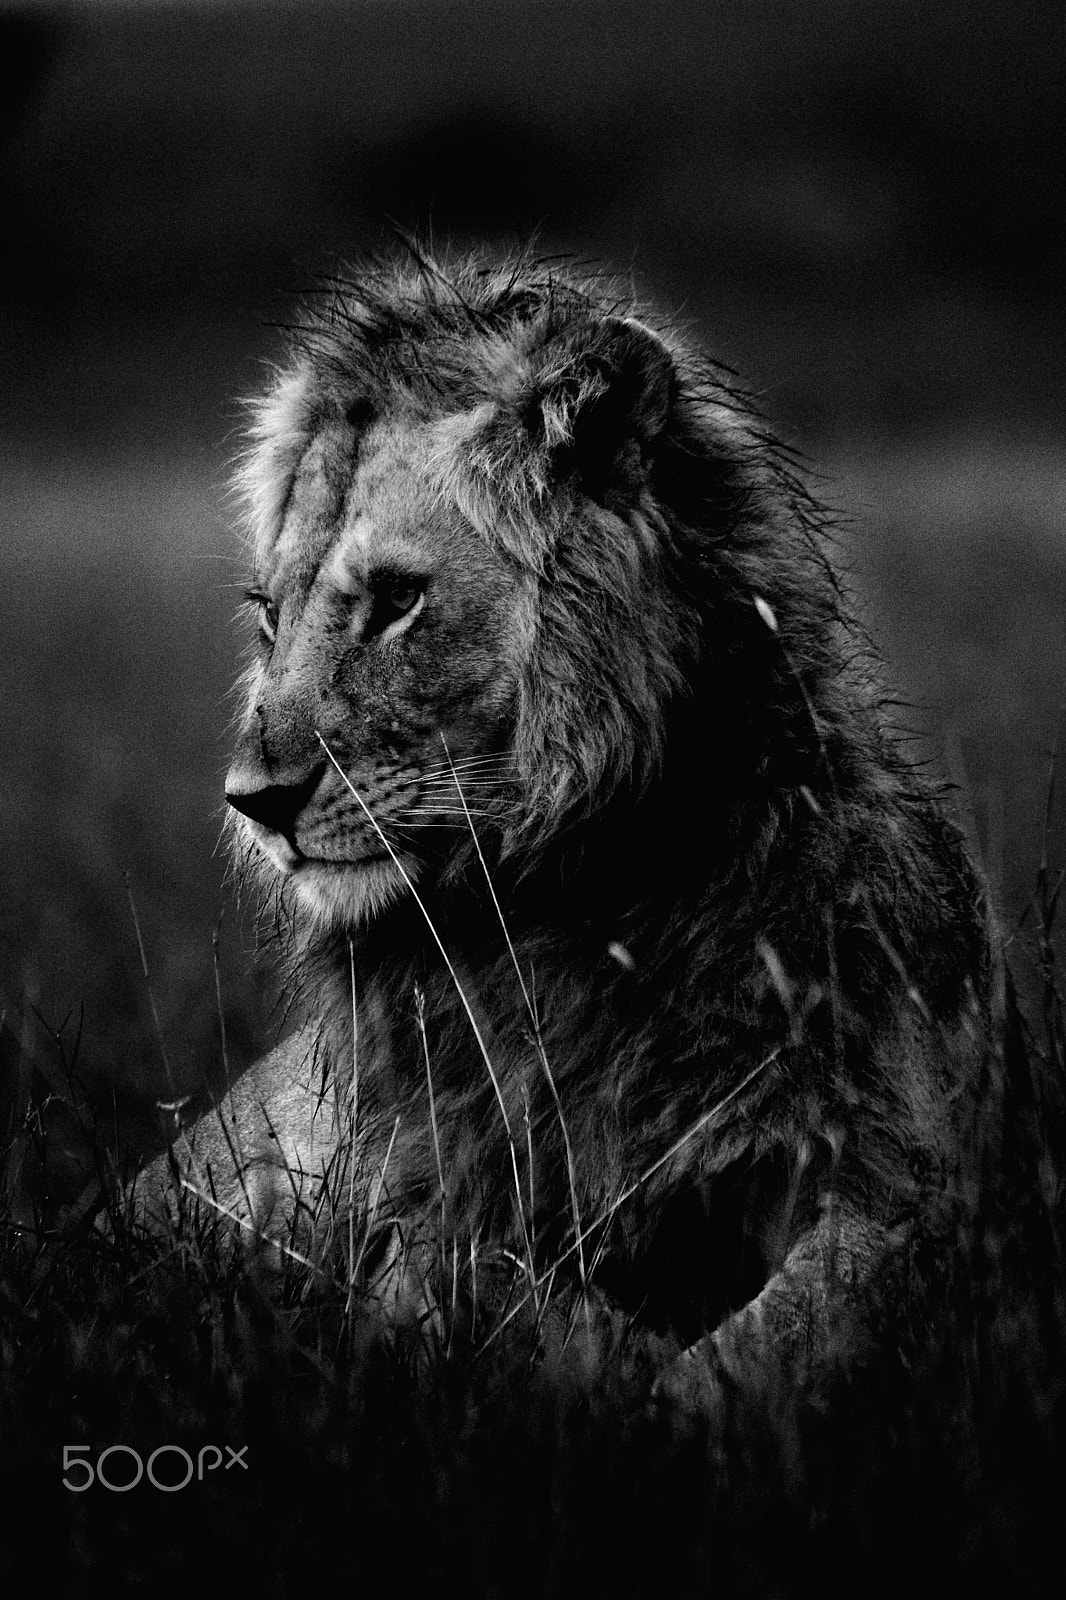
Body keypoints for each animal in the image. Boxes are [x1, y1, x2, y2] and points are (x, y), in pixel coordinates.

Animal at [138, 246, 998, 1386]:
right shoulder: (439, 1204)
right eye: (271, 617)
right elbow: (519, 1314)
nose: (254, 801)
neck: (587, 898)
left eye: (397, 599)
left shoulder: (891, 1167)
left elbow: (792, 1326)